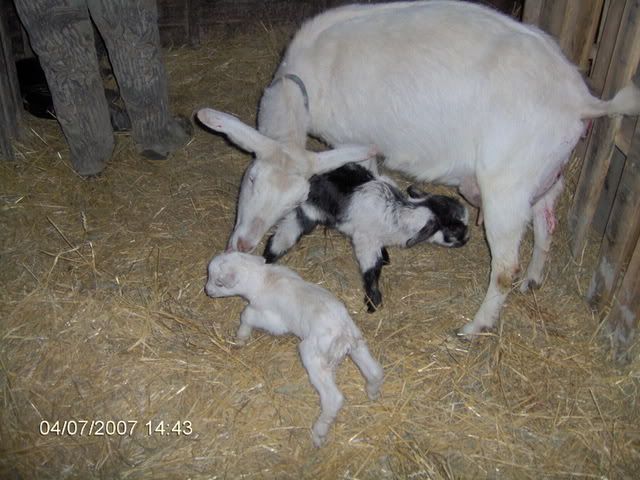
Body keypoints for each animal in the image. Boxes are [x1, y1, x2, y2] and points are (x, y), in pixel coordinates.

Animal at [205, 251, 384, 447]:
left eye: (219, 283)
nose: (207, 291)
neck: (263, 278)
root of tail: (342, 336)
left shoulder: (274, 321)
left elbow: (247, 315)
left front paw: (241, 337)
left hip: (312, 353)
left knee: (334, 397)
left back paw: (318, 433)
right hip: (357, 341)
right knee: (375, 370)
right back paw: (372, 392)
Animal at [263, 162, 469, 311]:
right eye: (454, 229)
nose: (466, 240)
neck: (398, 214)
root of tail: (317, 178)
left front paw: (386, 259)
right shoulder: (366, 242)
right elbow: (372, 270)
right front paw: (373, 303)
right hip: (309, 211)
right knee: (285, 233)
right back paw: (268, 257)